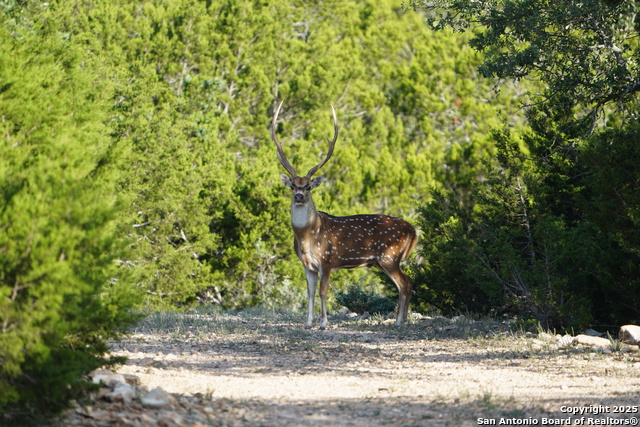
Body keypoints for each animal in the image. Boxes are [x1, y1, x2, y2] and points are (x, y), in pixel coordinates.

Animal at [272, 102, 418, 330]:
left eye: (308, 186)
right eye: (293, 185)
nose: (299, 196)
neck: (307, 236)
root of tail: (413, 230)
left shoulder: (327, 259)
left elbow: (323, 291)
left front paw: (323, 323)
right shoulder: (307, 265)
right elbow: (310, 292)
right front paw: (308, 323)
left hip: (390, 256)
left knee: (406, 283)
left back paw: (399, 321)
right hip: (385, 260)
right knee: (407, 282)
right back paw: (398, 319)